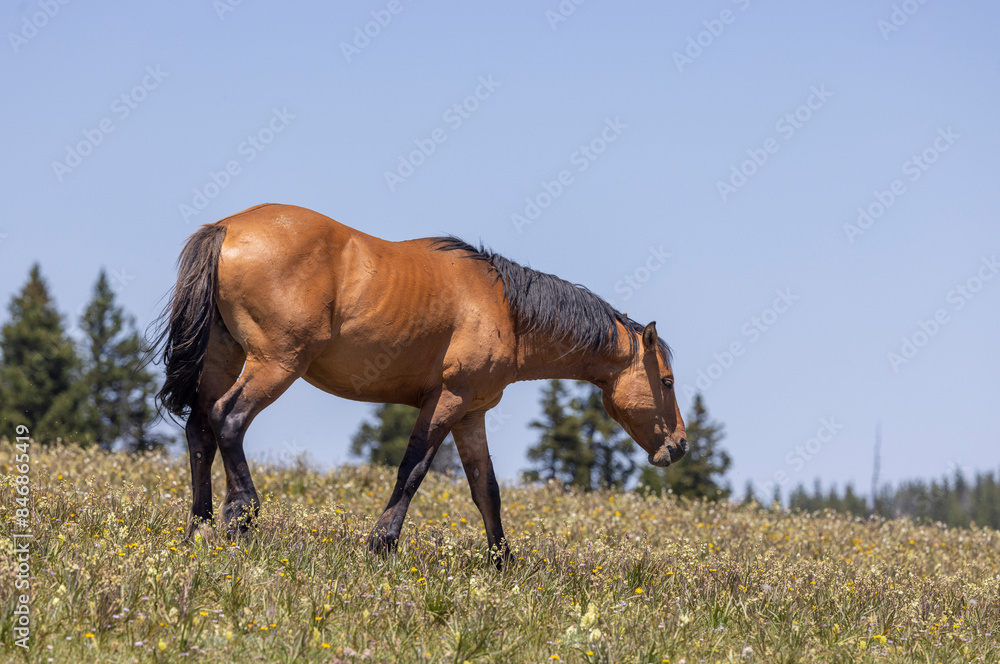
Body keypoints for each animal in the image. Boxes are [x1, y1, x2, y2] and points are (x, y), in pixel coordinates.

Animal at [155, 203, 686, 566]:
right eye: (666, 380)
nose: (679, 445)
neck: (505, 309)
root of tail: (227, 227)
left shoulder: (472, 413)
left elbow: (486, 489)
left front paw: (503, 564)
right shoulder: (447, 400)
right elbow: (412, 470)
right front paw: (382, 543)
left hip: (224, 358)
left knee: (200, 429)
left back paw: (198, 528)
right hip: (274, 364)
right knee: (229, 419)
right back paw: (241, 516)